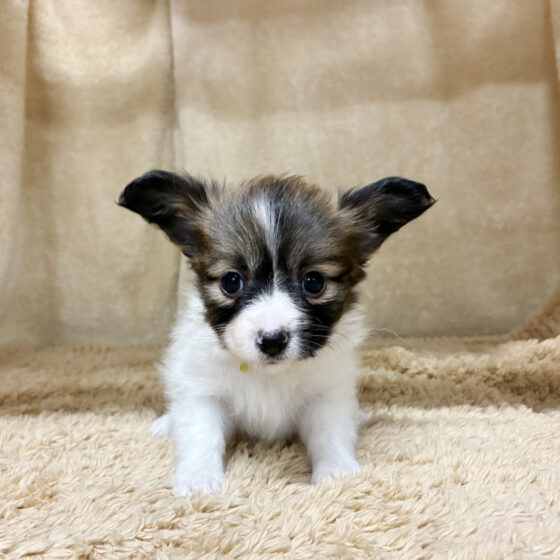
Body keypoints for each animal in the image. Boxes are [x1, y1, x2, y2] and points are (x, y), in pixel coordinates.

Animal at [118, 170, 434, 496]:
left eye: (314, 282)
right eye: (231, 281)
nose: (272, 340)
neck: (268, 373)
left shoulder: (327, 394)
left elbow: (330, 433)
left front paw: (337, 472)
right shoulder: (203, 391)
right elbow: (200, 434)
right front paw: (198, 477)